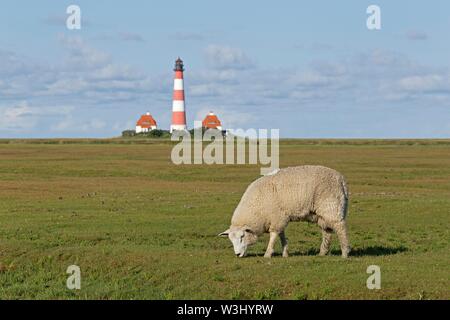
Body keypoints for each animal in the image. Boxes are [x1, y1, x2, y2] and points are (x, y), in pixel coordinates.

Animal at [219, 165, 352, 258]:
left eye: (242, 236)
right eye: (231, 240)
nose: (237, 254)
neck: (256, 207)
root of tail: (341, 180)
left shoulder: (277, 218)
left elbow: (273, 236)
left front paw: (268, 254)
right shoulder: (280, 218)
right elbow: (282, 235)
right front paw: (285, 253)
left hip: (332, 207)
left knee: (340, 228)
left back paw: (345, 253)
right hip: (322, 214)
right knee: (327, 231)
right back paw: (322, 252)